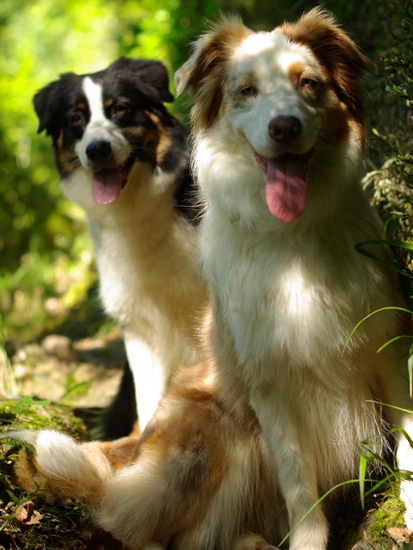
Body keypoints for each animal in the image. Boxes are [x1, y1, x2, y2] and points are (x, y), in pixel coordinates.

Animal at [34, 56, 206, 436]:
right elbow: (149, 404)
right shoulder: (138, 326)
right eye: (76, 119)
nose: (97, 150)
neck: (134, 212)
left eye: (121, 110)